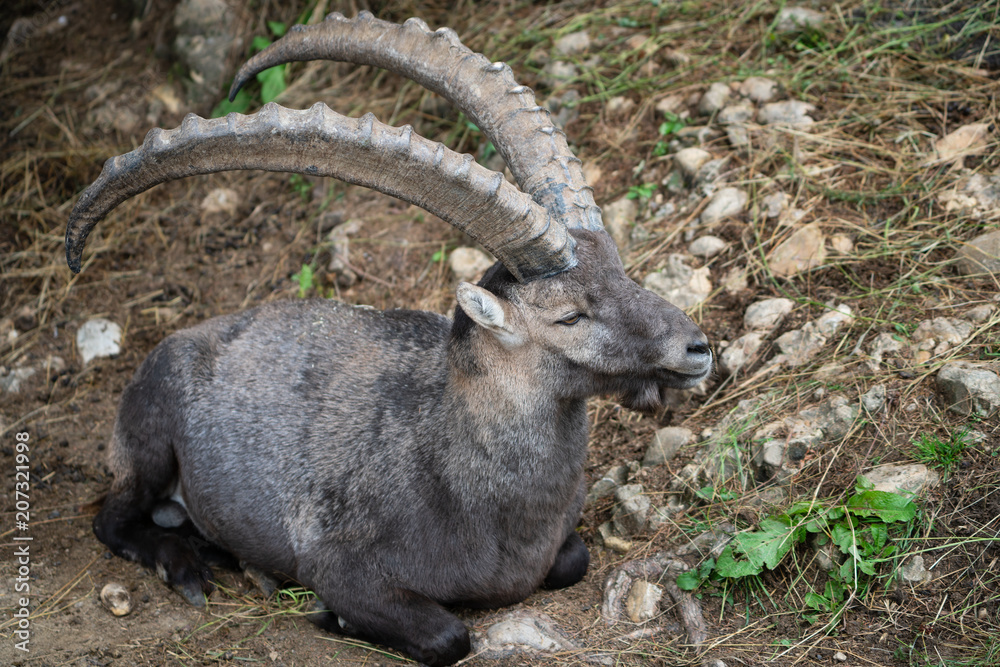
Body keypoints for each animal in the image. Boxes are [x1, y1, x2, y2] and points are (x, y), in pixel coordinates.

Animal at [66, 12, 712, 666]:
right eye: (569, 317)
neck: (463, 478)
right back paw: (189, 565)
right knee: (110, 519)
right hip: (148, 443)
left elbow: (574, 561)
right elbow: (448, 635)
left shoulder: (557, 547)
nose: (696, 347)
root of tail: (179, 340)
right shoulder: (342, 564)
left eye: (622, 272)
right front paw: (333, 618)